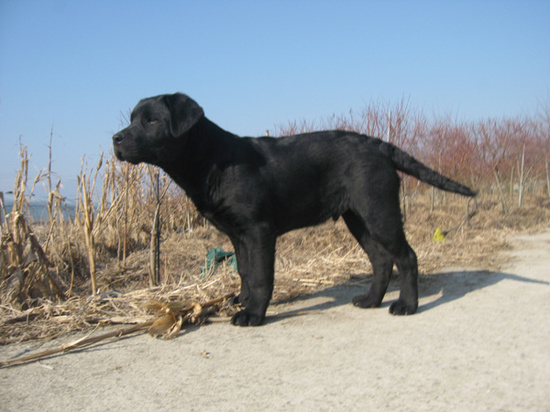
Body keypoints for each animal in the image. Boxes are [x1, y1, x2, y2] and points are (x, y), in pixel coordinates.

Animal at [113, 93, 476, 326]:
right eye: (132, 119)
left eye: (151, 120)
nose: (116, 138)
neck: (212, 159)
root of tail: (380, 145)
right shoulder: (237, 235)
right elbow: (245, 272)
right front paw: (242, 300)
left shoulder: (258, 230)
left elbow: (262, 276)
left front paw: (253, 315)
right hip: (358, 218)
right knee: (382, 259)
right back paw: (371, 300)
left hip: (379, 211)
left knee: (406, 257)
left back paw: (407, 306)